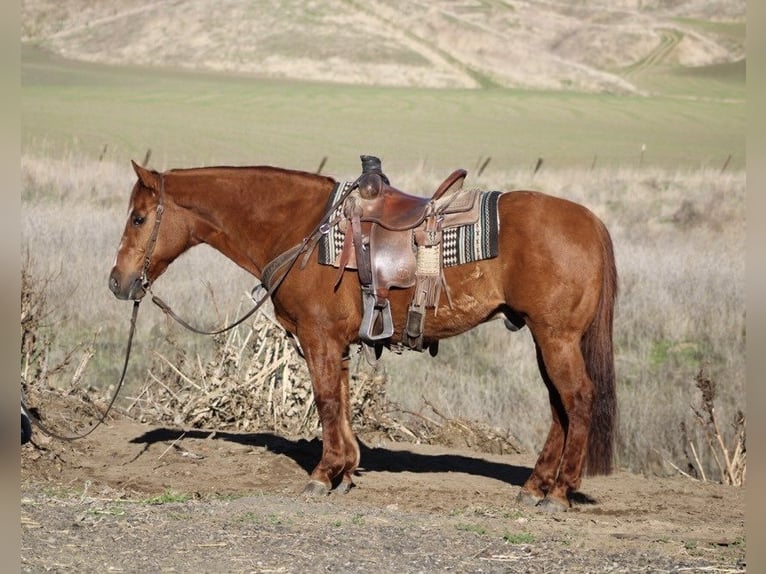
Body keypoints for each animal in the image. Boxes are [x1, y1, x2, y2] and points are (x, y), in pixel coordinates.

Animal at [109, 160, 617, 512]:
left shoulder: (318, 338)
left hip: (556, 337)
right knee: (558, 406)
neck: (302, 229)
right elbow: (342, 398)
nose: (118, 282)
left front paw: (323, 474)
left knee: (577, 399)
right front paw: (346, 471)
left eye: (138, 218)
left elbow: (326, 400)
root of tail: (592, 223)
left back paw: (559, 492)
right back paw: (535, 486)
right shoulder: (337, 343)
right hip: (545, 338)